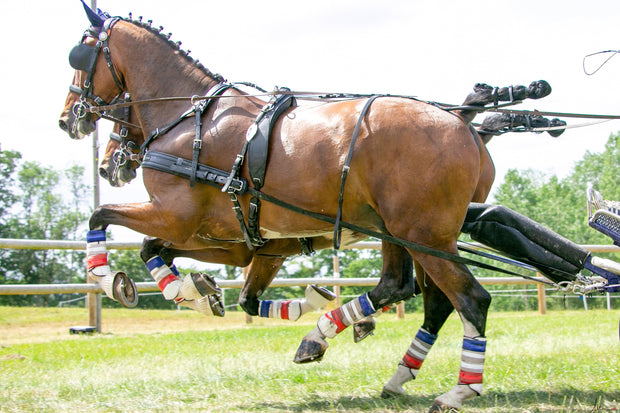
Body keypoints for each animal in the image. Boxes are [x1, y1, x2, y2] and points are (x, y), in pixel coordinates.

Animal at [57, 6, 552, 408]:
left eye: (81, 54)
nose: (68, 119)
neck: (190, 119)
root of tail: (461, 121)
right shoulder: (234, 240)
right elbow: (172, 260)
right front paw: (195, 291)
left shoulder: (179, 219)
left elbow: (102, 217)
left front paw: (108, 276)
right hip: (398, 231)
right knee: (403, 288)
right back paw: (363, 355)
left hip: (423, 235)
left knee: (469, 299)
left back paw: (461, 389)